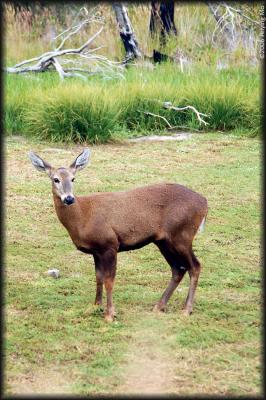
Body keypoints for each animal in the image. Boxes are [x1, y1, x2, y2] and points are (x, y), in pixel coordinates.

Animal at [28, 148, 208, 322]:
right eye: (55, 179)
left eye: (73, 179)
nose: (69, 198)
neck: (82, 217)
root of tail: (204, 203)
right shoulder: (96, 250)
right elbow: (98, 277)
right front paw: (95, 307)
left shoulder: (110, 244)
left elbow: (109, 281)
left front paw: (110, 314)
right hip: (164, 240)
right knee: (178, 268)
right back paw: (159, 306)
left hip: (182, 235)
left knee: (195, 266)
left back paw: (186, 310)